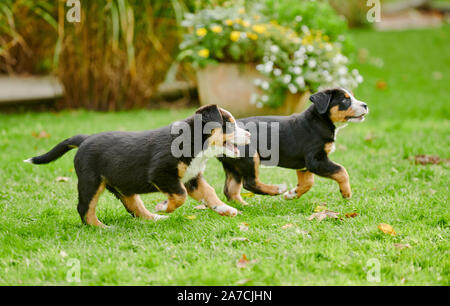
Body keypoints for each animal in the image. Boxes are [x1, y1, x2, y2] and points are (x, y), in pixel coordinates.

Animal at [24, 105, 251, 227]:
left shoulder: (192, 177)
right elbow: (180, 196)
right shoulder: (161, 174)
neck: (195, 146)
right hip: (90, 182)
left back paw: (154, 218)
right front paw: (164, 206)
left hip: (122, 186)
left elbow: (209, 193)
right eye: (230, 124)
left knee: (134, 207)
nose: (249, 134)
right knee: (85, 208)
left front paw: (225, 209)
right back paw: (101, 227)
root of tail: (85, 139)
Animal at [219, 88, 370, 206]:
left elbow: (308, 183)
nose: (365, 105)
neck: (320, 121)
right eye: (345, 100)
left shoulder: (305, 166)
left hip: (233, 165)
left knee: (230, 190)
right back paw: (276, 189)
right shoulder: (316, 160)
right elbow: (342, 171)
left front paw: (292, 194)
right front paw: (346, 193)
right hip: (250, 156)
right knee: (250, 183)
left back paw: (242, 206)